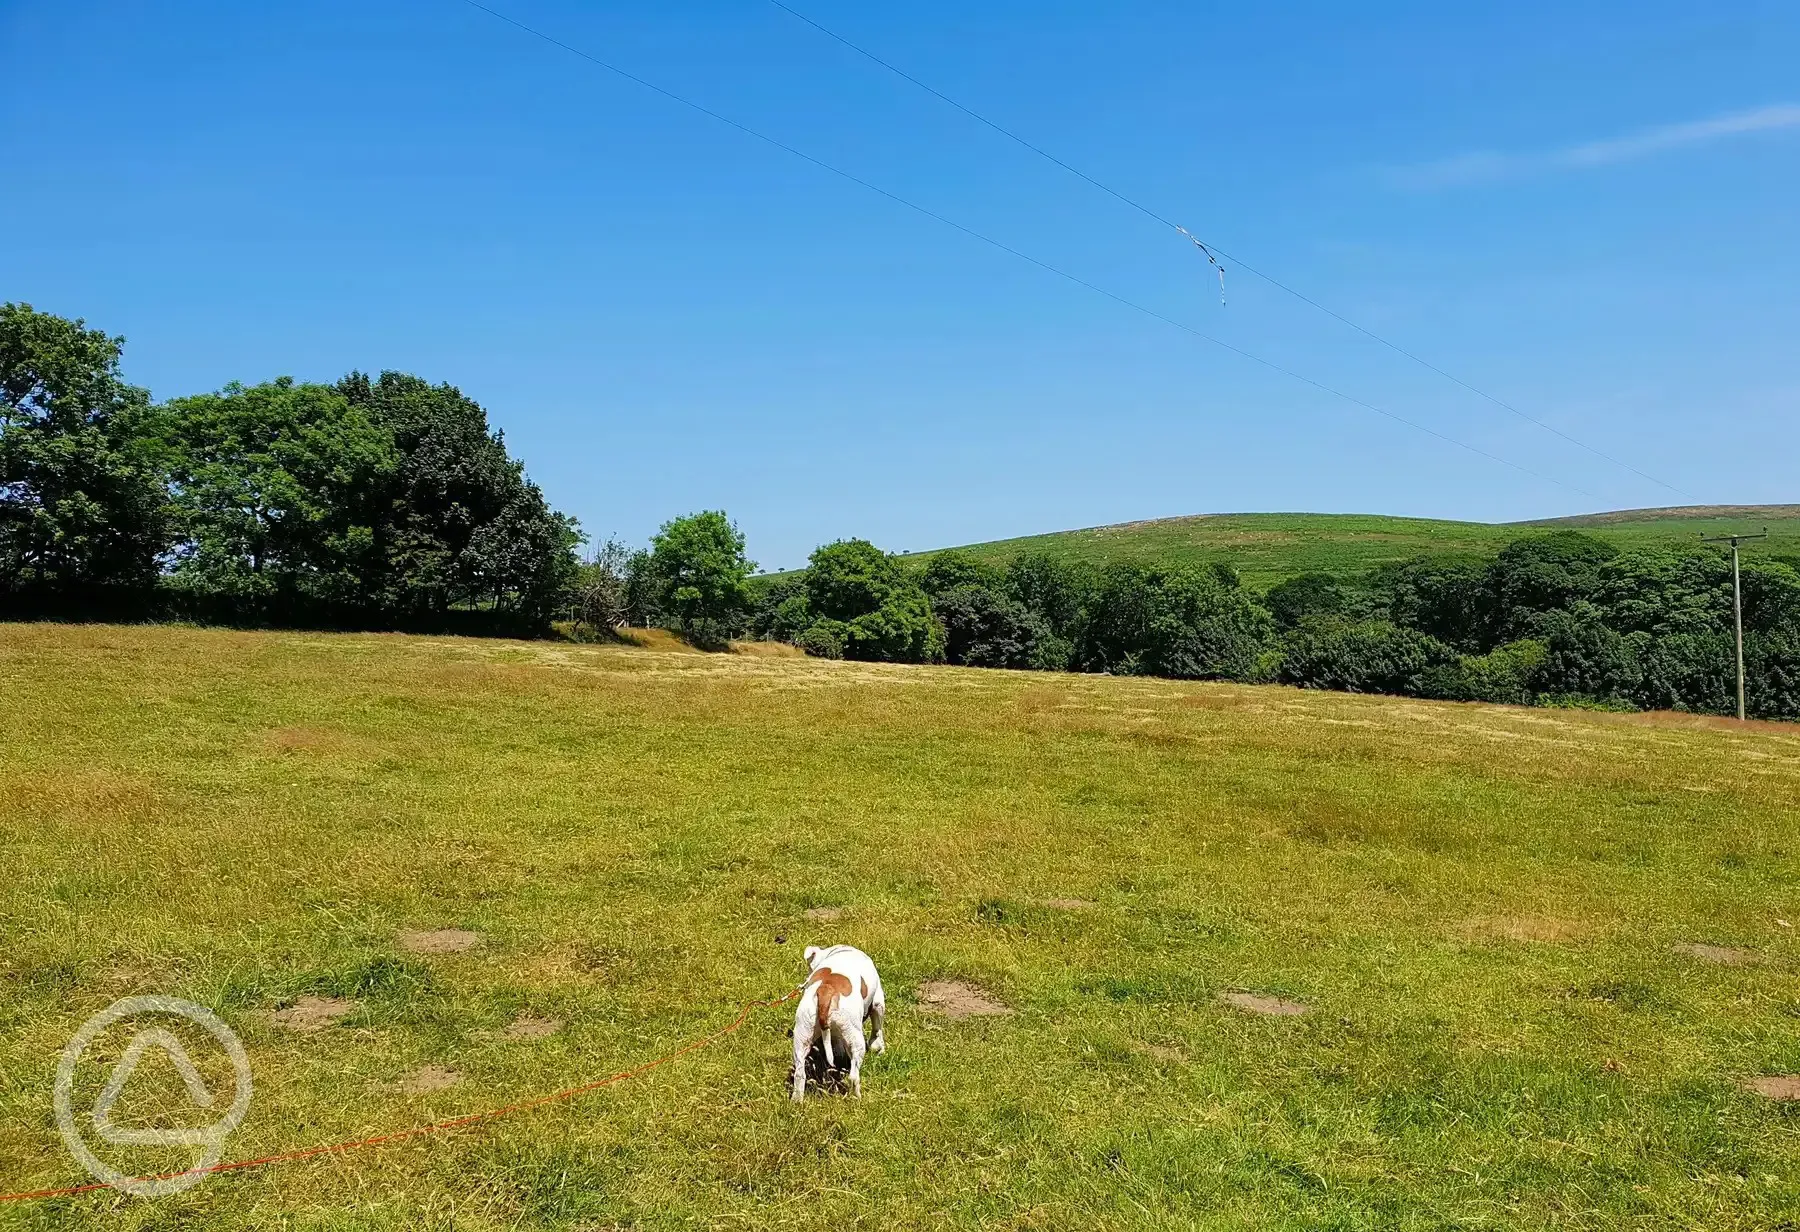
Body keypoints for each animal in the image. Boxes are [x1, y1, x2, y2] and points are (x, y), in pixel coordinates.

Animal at [795, 943, 885, 1095]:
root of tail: (826, 990)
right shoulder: (878, 1002)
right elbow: (877, 1029)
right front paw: (879, 1048)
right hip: (855, 1038)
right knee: (853, 1076)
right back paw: (857, 1097)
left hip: (802, 1034)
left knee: (799, 1075)